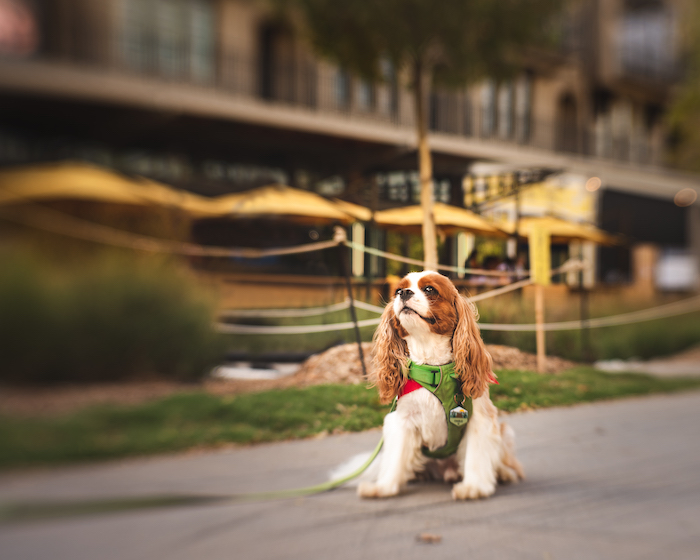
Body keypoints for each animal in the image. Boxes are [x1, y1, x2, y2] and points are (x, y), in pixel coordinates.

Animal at [358, 270, 524, 498]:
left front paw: (473, 487)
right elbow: (395, 459)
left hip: (504, 430)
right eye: (398, 290)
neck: (434, 370)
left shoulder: (480, 420)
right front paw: (384, 487)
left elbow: (476, 458)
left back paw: (505, 473)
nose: (404, 293)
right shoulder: (401, 420)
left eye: (429, 289)